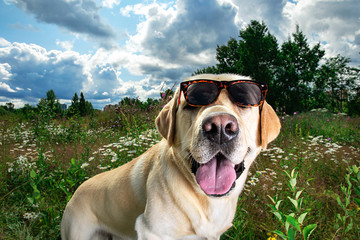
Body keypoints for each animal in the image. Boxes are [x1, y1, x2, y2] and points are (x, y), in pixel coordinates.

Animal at [61, 74, 282, 239]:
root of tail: (76, 191)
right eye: (190, 105)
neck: (204, 198)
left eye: (245, 102)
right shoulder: (152, 232)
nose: (220, 127)